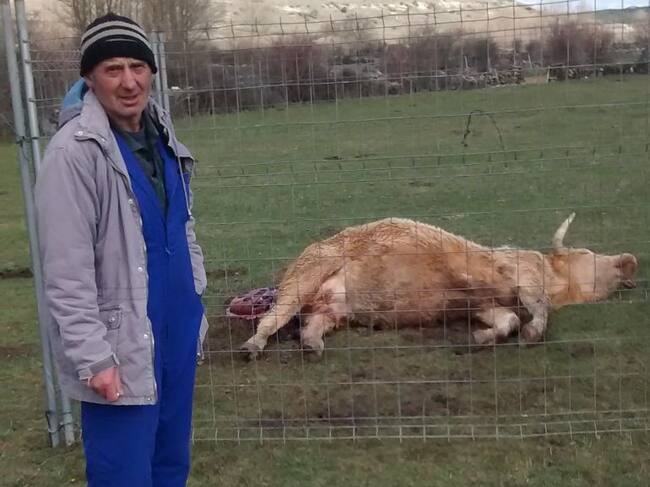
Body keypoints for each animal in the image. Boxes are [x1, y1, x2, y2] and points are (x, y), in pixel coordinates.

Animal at [240, 214, 638, 359]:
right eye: (587, 252)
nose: (630, 259)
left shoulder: (482, 304)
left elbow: (508, 319)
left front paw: (481, 339)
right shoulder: (513, 274)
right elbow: (534, 309)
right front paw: (530, 334)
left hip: (332, 309)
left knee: (311, 325)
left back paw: (312, 345)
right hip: (305, 276)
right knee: (273, 317)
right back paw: (253, 346)